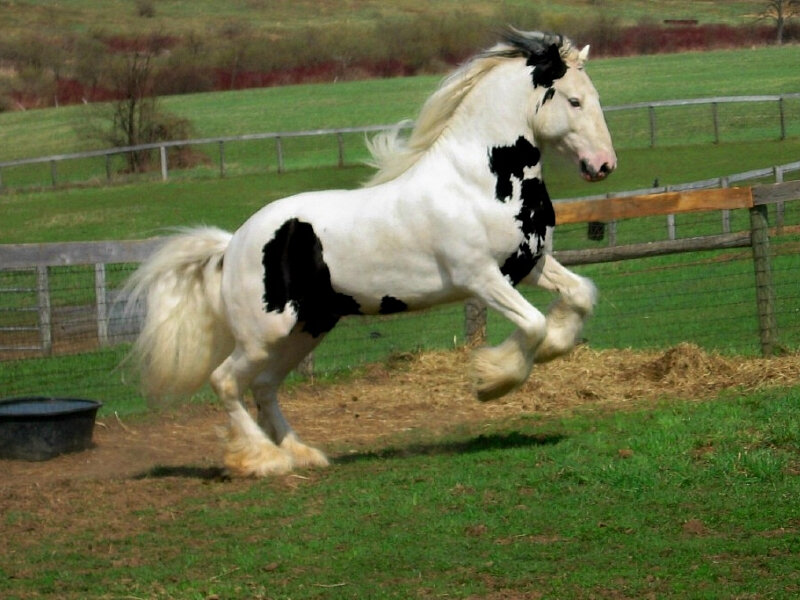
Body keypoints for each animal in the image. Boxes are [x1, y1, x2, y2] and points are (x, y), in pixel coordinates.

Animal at [122, 29, 616, 477]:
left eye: (595, 97)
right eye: (574, 101)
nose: (603, 165)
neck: (478, 181)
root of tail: (234, 243)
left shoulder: (530, 265)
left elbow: (581, 294)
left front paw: (550, 349)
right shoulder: (480, 278)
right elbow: (532, 323)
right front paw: (490, 381)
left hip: (306, 329)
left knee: (262, 386)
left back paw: (303, 454)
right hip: (265, 333)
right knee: (226, 381)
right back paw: (264, 461)